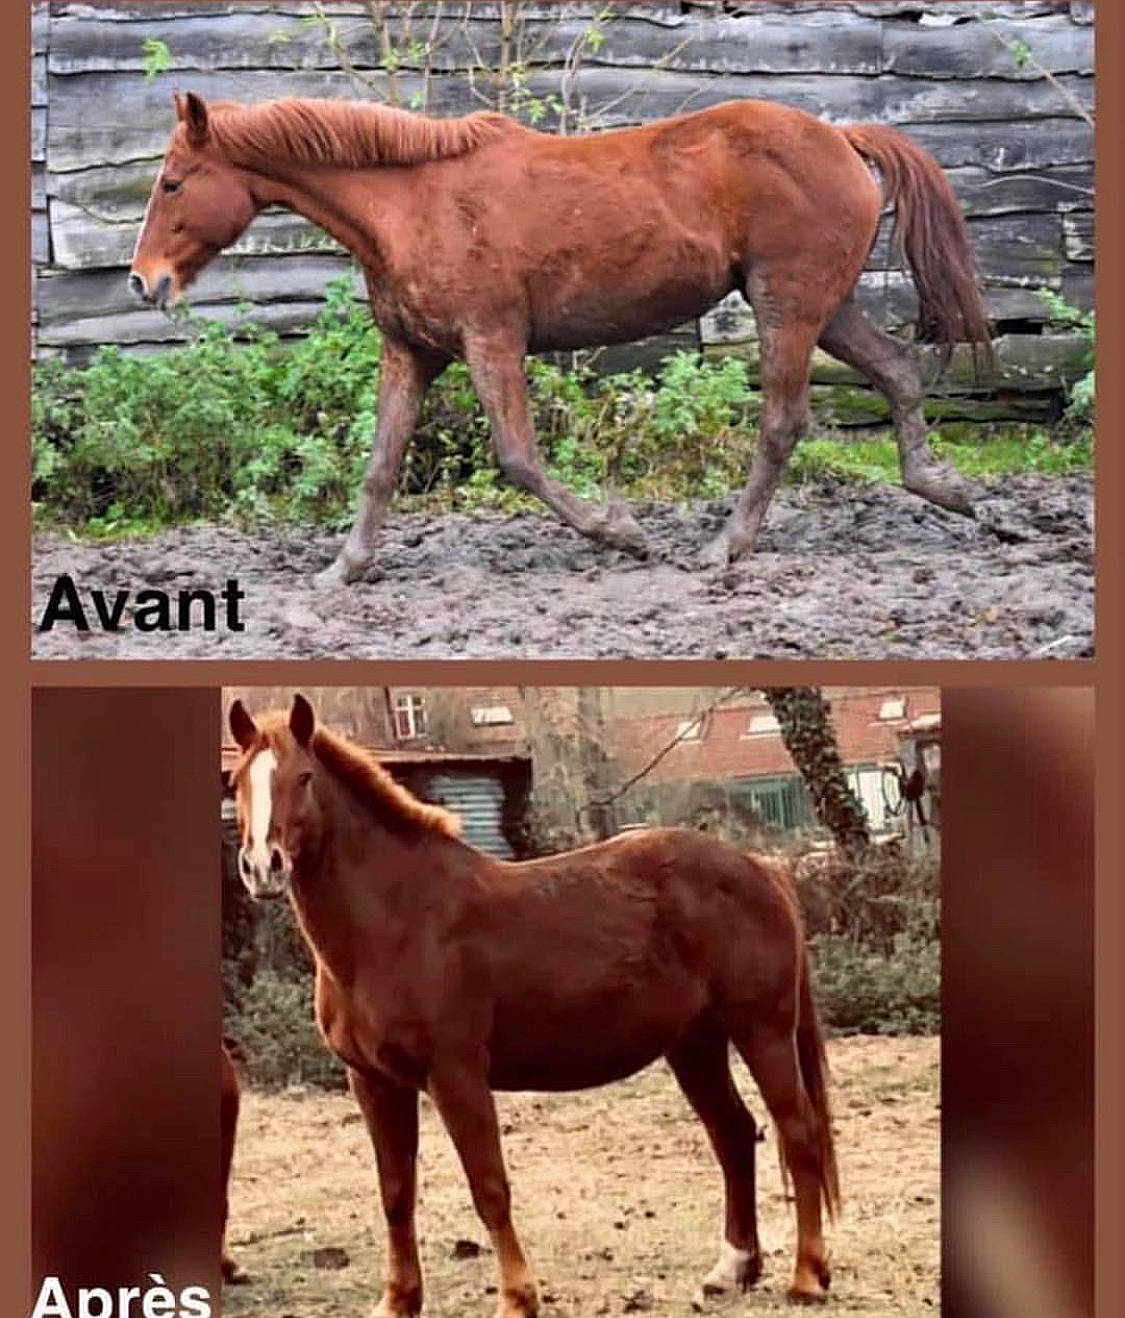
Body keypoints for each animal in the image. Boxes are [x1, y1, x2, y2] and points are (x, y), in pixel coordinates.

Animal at [131, 91, 991, 587]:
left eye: (172, 181)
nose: (144, 282)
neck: (412, 205)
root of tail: (841, 137)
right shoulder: (412, 353)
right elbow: (380, 468)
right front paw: (343, 569)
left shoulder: (491, 342)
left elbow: (517, 458)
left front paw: (624, 535)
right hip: (825, 306)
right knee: (898, 370)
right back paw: (946, 490)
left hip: (789, 307)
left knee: (782, 423)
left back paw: (723, 550)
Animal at [227, 693, 840, 1316]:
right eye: (236, 782)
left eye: (303, 777)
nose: (262, 867)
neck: (396, 921)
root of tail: (760, 869)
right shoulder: (374, 1082)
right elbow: (395, 1192)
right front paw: (399, 1299)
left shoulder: (456, 1075)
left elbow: (489, 1187)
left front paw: (518, 1297)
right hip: (695, 1045)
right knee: (734, 1134)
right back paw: (732, 1268)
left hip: (762, 1031)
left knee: (798, 1131)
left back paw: (807, 1276)